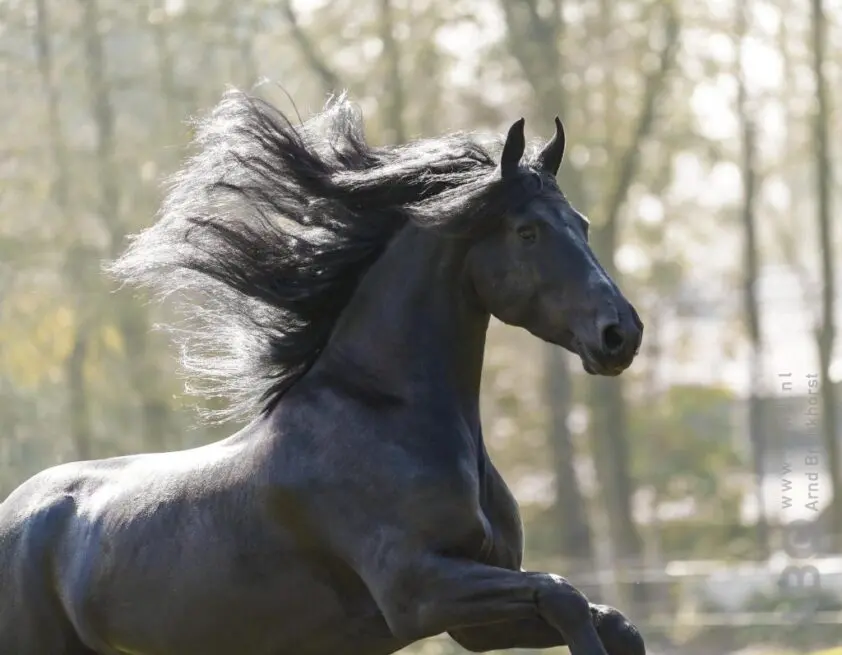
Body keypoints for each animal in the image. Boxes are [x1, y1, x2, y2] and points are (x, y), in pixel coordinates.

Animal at [0, 89, 644, 655]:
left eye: (583, 224)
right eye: (527, 231)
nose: (622, 334)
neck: (387, 418)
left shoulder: (477, 620)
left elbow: (613, 621)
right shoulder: (420, 592)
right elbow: (564, 597)